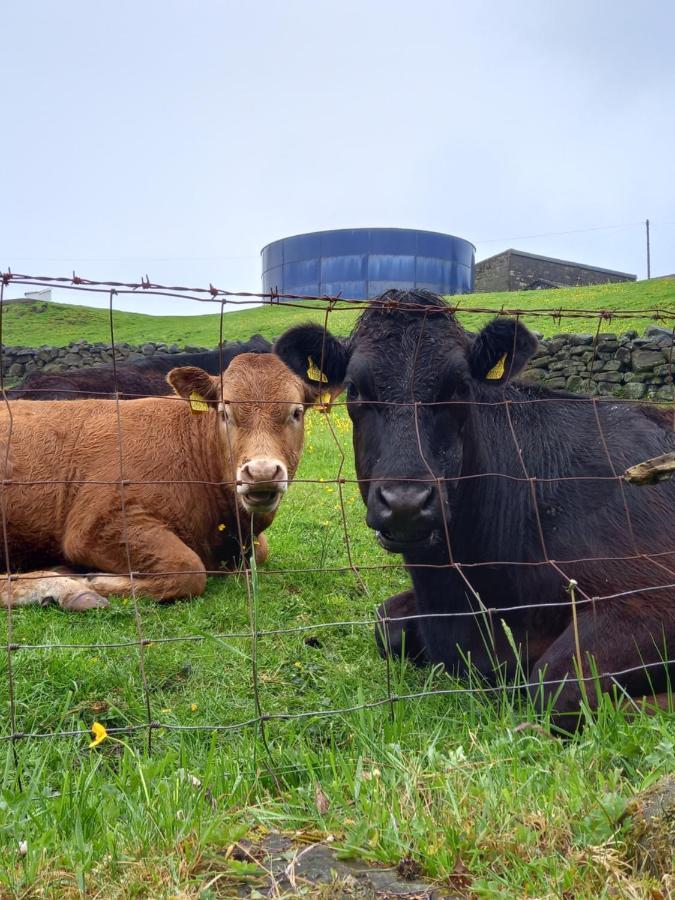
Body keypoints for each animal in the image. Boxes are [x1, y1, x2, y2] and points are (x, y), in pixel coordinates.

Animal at [0, 352, 312, 612]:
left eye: (296, 412)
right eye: (225, 412)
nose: (261, 473)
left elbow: (261, 551)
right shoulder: (97, 524)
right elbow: (188, 570)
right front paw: (91, 580)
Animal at [274, 292, 675, 728]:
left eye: (459, 385)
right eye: (357, 388)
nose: (405, 503)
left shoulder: (653, 592)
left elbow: (555, 686)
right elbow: (386, 623)